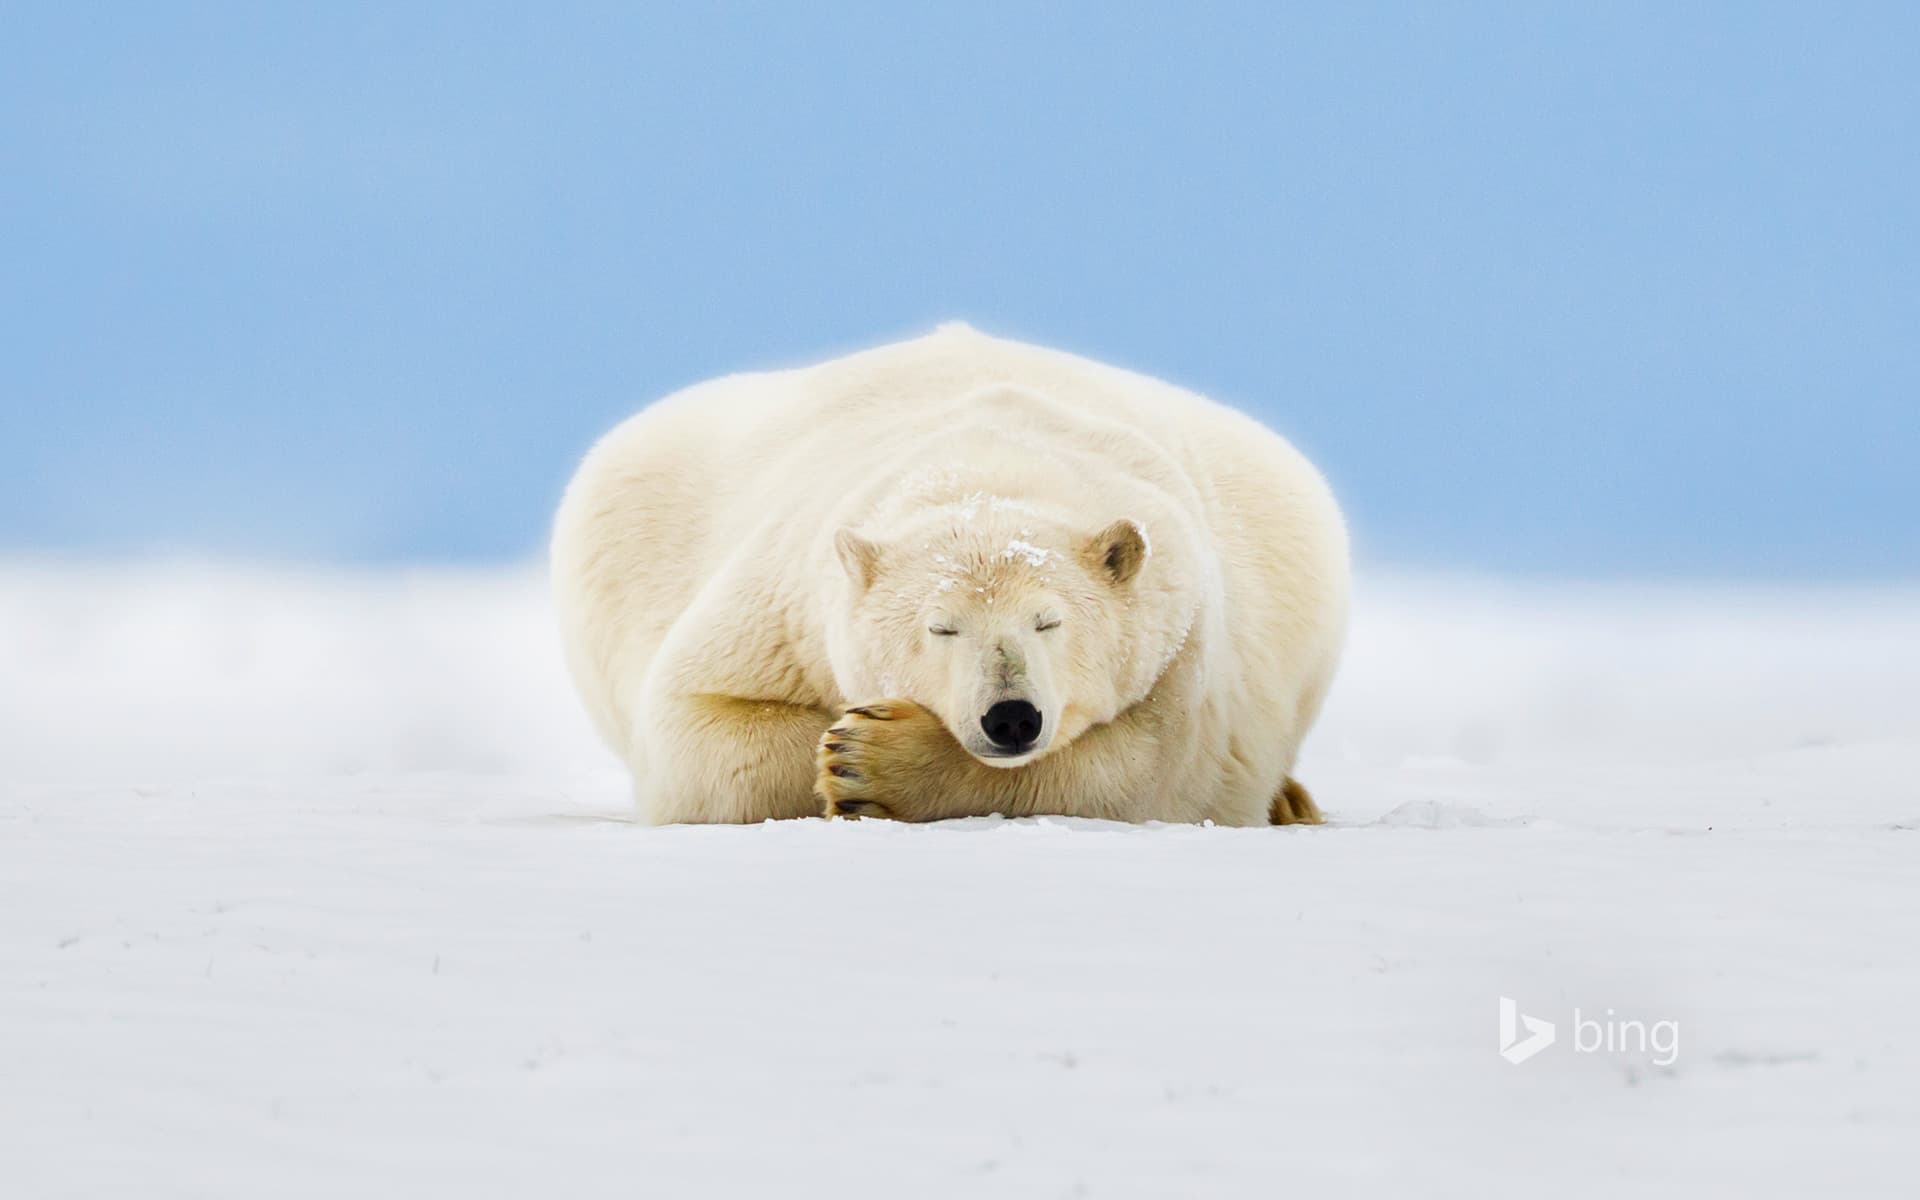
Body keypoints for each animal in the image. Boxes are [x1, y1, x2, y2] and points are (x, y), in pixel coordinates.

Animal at [550, 323, 1348, 826]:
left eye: (1049, 621)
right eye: (941, 628)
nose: (1011, 716)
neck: (989, 462)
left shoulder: (1185, 637)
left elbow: (1153, 770)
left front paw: (873, 761)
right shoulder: (783, 606)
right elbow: (696, 726)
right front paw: (841, 745)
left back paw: (1292, 802)